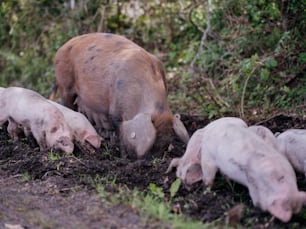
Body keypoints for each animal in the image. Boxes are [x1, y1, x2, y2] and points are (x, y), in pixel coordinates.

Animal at [51, 32, 190, 158]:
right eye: (152, 146)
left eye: (164, 146)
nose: (150, 160)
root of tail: (61, 48)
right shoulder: (115, 112)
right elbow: (120, 132)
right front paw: (123, 157)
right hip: (64, 84)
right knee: (67, 104)